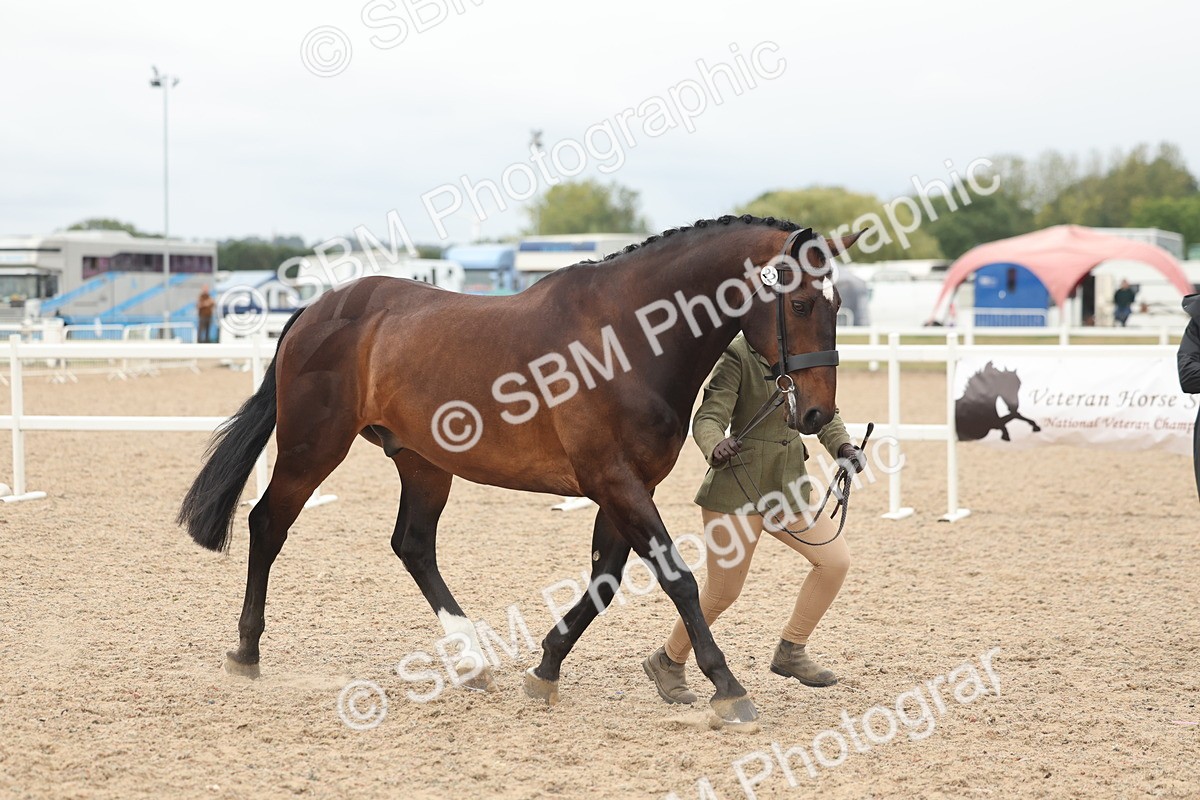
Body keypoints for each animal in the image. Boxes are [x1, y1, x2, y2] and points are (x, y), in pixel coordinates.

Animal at [177, 214, 863, 725]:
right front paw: (727, 687)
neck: (627, 338)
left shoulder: (622, 489)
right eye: (803, 303)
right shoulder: (616, 482)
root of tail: (316, 308)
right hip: (312, 447)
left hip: (425, 463)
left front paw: (546, 668)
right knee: (268, 525)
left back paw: (472, 661)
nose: (818, 413)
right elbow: (678, 578)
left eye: (838, 303)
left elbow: (605, 581)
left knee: (412, 545)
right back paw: (246, 651)